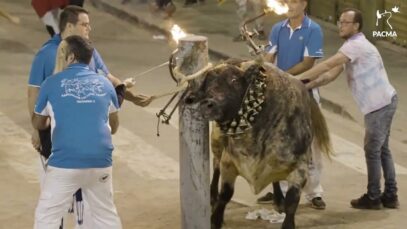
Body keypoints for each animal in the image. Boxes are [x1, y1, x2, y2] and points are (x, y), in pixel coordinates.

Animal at [186, 59, 334, 229]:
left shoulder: (299, 167)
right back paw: (212, 197)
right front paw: (215, 219)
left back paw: (279, 200)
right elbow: (225, 194)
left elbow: (292, 202)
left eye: (234, 81)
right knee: (216, 166)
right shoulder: (228, 162)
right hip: (216, 141)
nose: (209, 104)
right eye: (207, 84)